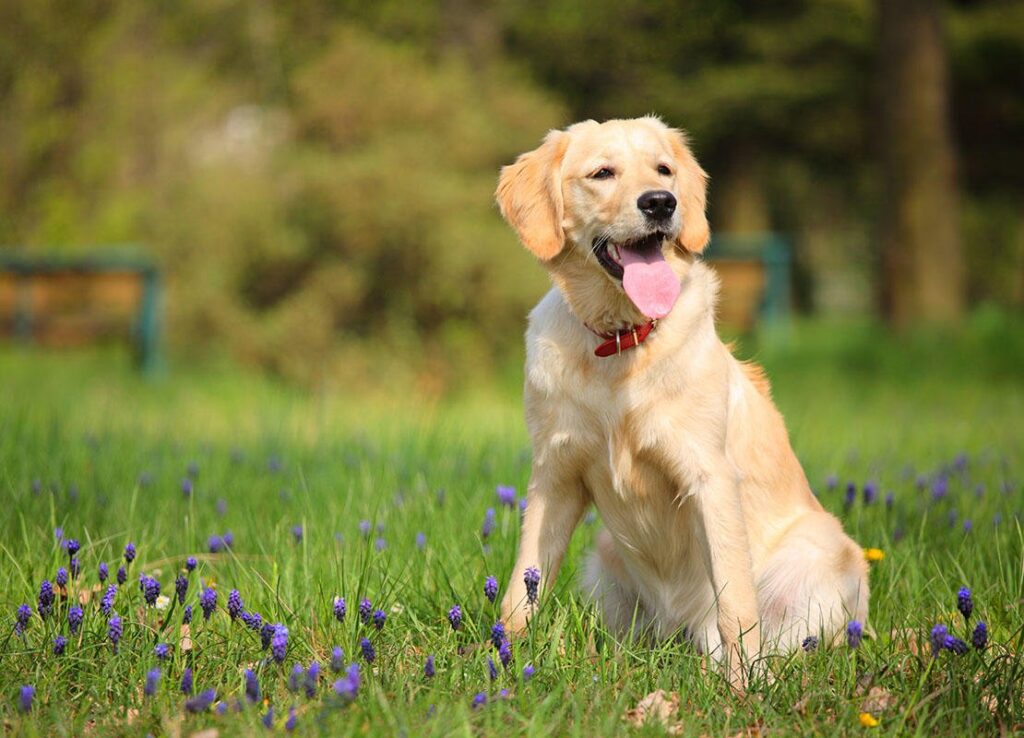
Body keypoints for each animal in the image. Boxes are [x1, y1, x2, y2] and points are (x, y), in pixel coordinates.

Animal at [491, 115, 868, 683]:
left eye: (663, 170)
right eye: (602, 173)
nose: (660, 203)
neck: (621, 340)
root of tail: (684, 632)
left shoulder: (709, 477)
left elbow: (737, 606)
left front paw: (743, 688)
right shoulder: (555, 476)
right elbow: (520, 590)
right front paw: (499, 659)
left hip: (824, 552)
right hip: (605, 558)